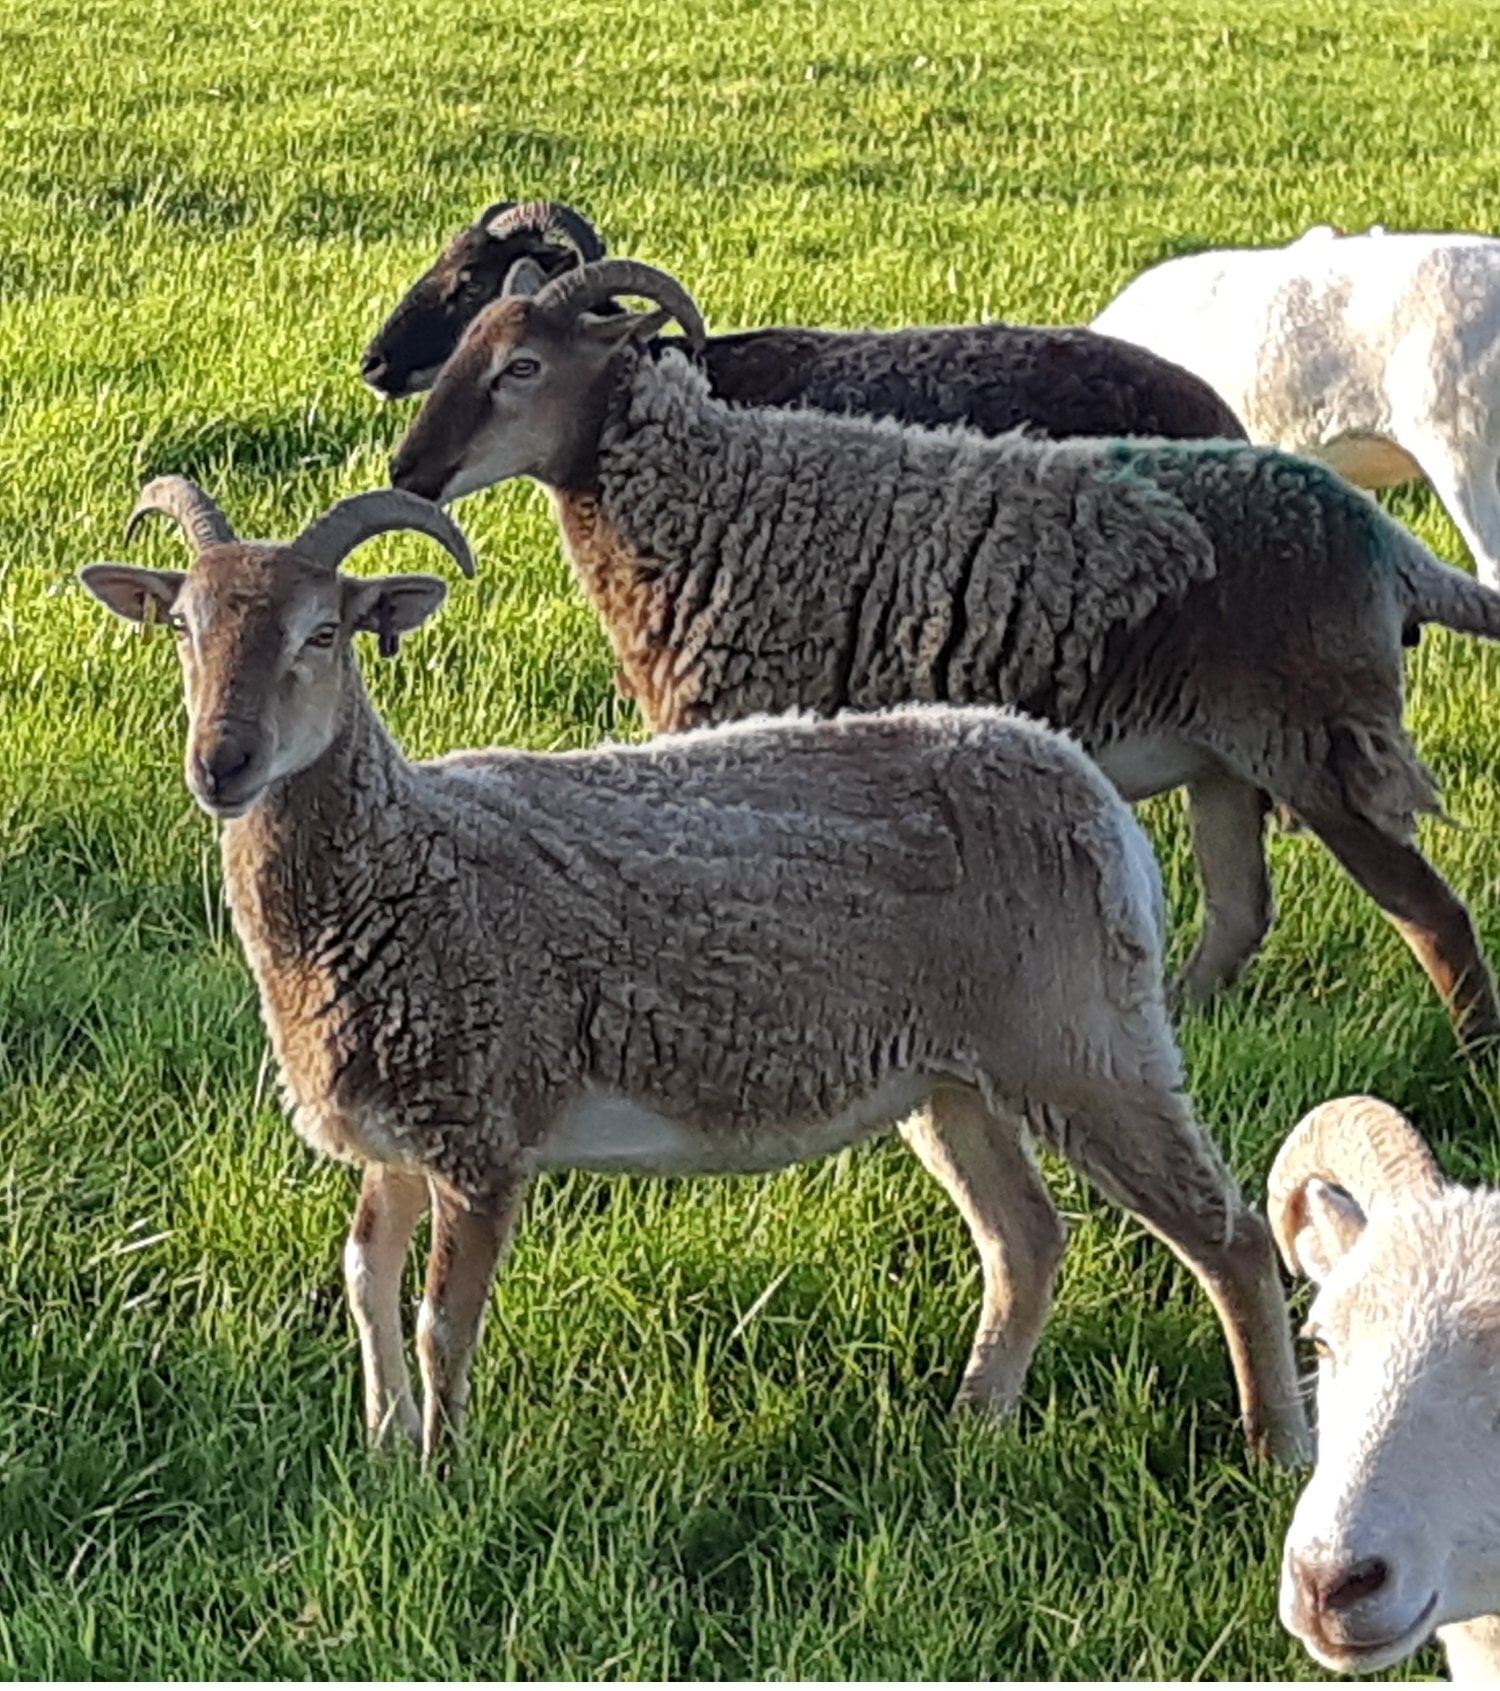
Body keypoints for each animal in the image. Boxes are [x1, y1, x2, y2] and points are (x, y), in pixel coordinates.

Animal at [78, 472, 1312, 1470]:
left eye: (325, 631)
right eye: (182, 625)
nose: (222, 763)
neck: (402, 863)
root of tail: (1089, 792)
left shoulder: (483, 1127)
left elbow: (439, 1320)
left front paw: (443, 1479)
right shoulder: (396, 1124)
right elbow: (364, 1279)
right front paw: (385, 1452)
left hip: (1086, 1038)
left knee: (1231, 1236)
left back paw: (1278, 1450)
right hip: (953, 1074)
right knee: (1027, 1239)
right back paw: (976, 1423)